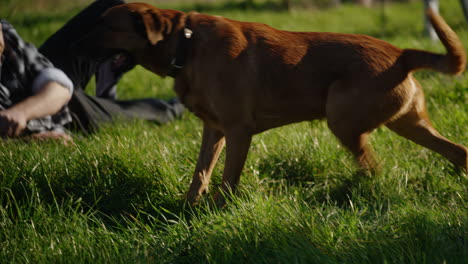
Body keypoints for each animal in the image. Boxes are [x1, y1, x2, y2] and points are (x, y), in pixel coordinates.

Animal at [77, 3, 468, 204]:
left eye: (104, 26)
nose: (73, 44)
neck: (186, 44)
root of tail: (401, 55)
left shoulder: (238, 130)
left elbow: (227, 179)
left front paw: (217, 211)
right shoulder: (213, 130)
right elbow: (200, 173)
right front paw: (188, 208)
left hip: (341, 118)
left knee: (373, 166)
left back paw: (358, 190)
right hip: (408, 123)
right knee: (456, 149)